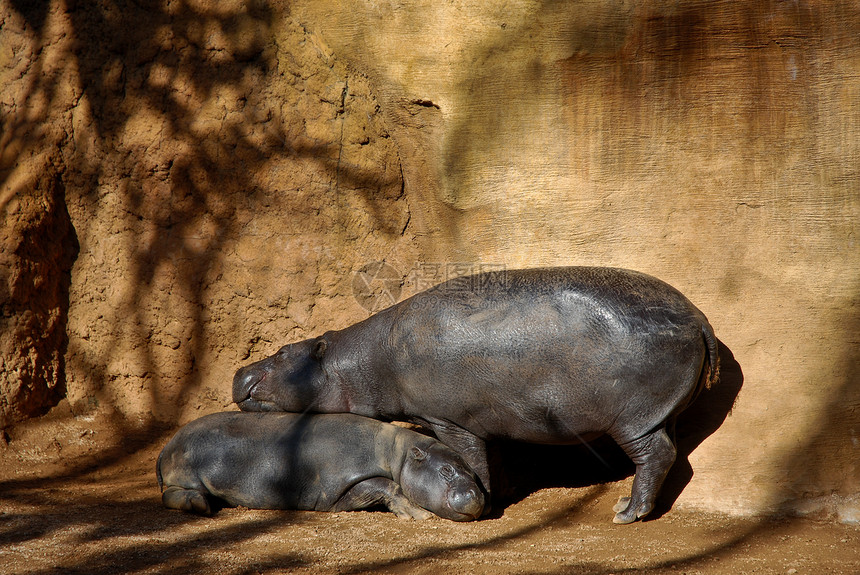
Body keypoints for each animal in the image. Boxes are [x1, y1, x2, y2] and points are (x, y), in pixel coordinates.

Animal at [156, 412, 484, 520]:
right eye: (446, 471)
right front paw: (421, 516)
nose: (476, 496)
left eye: (472, 471)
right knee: (171, 493)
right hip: (187, 471)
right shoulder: (345, 478)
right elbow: (389, 485)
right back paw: (200, 505)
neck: (398, 454)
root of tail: (167, 446)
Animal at [233, 268, 720, 524]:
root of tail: (699, 317)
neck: (356, 361)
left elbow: (471, 459)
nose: (239, 371)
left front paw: (483, 503)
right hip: (662, 412)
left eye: (282, 351)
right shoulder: (488, 418)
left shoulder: (450, 420)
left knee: (655, 454)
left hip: (633, 418)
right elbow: (493, 459)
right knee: (670, 451)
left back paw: (626, 513)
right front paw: (502, 492)